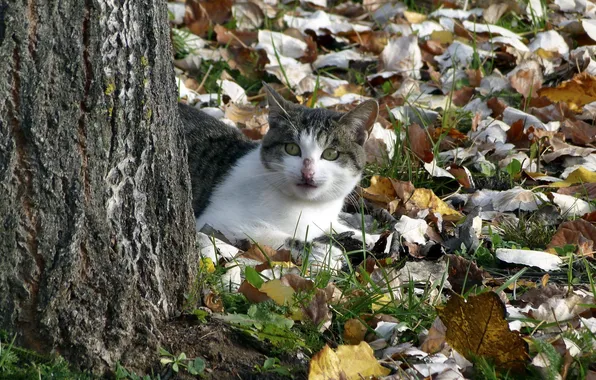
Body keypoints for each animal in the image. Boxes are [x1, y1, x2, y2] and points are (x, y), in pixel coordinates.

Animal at [179, 84, 380, 268]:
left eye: (331, 154)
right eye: (291, 148)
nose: (307, 172)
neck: (308, 206)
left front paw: (362, 236)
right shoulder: (216, 222)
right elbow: (276, 237)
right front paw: (324, 252)